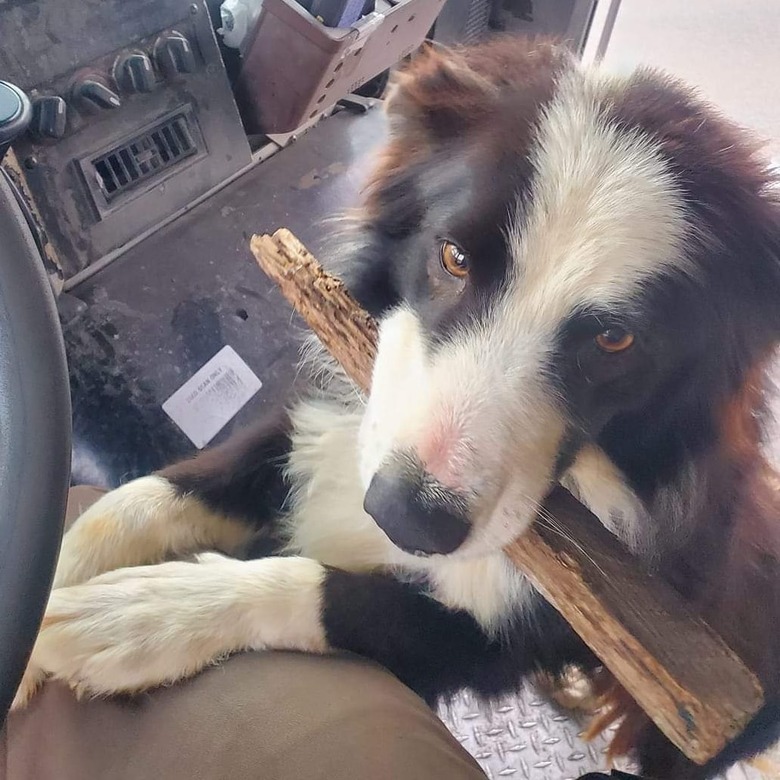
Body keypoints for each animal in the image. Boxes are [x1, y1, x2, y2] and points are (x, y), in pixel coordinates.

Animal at [12, 38, 780, 780]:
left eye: (616, 341)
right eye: (454, 257)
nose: (403, 516)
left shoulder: (489, 642)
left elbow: (334, 596)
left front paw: (145, 615)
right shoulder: (321, 420)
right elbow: (146, 496)